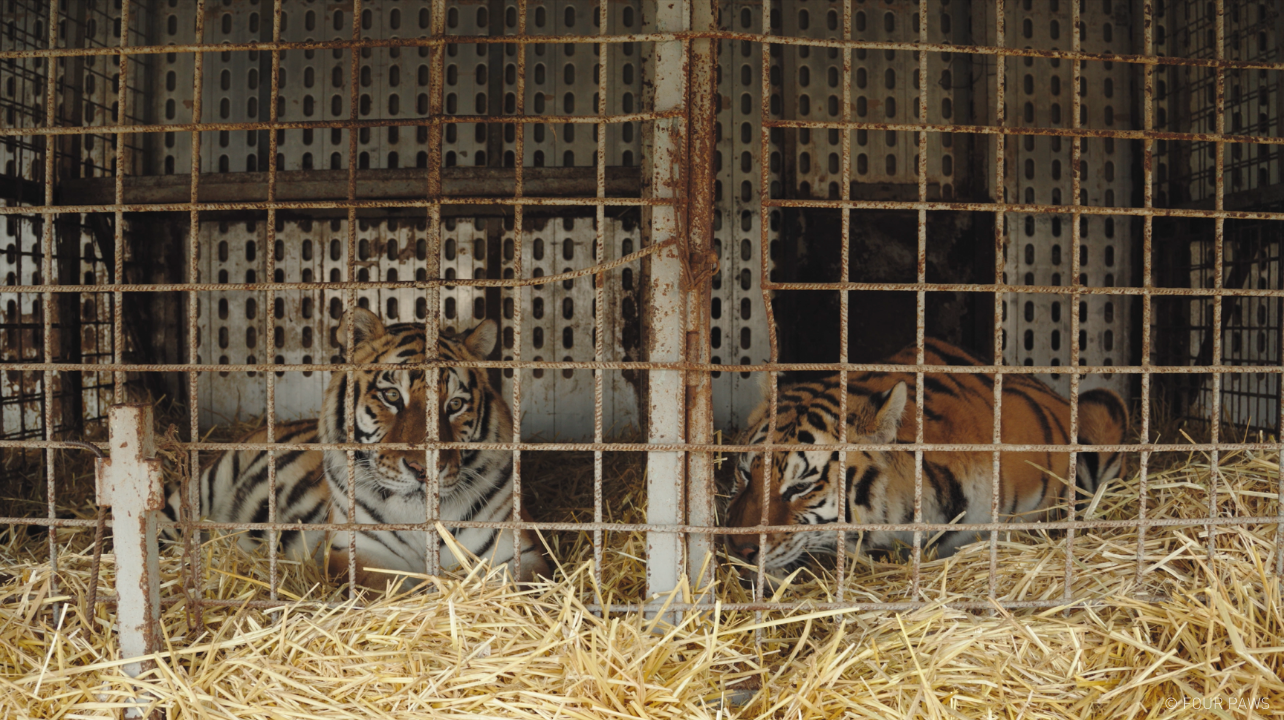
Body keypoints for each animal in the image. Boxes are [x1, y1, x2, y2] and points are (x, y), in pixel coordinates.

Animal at [161, 309, 546, 585]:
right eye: (392, 396)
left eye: (454, 404)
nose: (424, 470)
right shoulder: (359, 553)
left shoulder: (517, 553)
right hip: (195, 493)